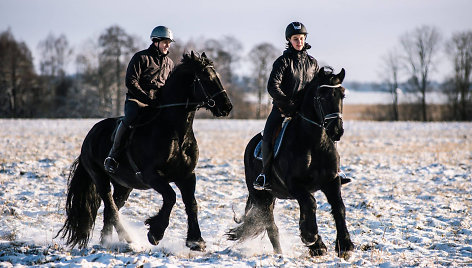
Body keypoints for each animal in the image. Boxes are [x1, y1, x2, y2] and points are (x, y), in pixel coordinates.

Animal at [56, 51, 232, 251]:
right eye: (206, 78)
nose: (227, 107)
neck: (175, 133)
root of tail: (89, 137)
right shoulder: (152, 176)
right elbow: (170, 197)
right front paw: (155, 233)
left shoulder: (187, 175)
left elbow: (191, 204)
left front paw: (196, 241)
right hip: (100, 179)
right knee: (111, 208)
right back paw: (126, 238)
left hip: (124, 186)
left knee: (111, 210)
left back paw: (108, 242)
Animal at [226, 66, 354, 258]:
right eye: (322, 96)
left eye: (342, 95)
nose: (336, 130)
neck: (314, 144)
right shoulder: (294, 184)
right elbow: (311, 204)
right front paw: (312, 239)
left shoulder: (331, 181)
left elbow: (338, 207)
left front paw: (344, 245)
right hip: (262, 197)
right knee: (271, 226)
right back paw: (282, 253)